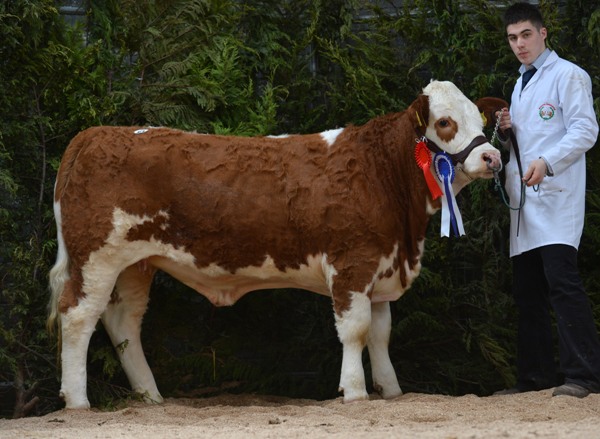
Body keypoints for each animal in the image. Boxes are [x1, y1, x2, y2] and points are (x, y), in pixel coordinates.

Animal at [48, 81, 506, 410]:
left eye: (479, 118)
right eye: (445, 123)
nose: (492, 158)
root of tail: (92, 135)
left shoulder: (382, 265)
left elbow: (380, 335)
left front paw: (391, 392)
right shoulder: (353, 263)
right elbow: (356, 330)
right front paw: (355, 392)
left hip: (135, 265)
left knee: (123, 323)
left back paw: (150, 397)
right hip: (96, 257)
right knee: (78, 316)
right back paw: (78, 401)